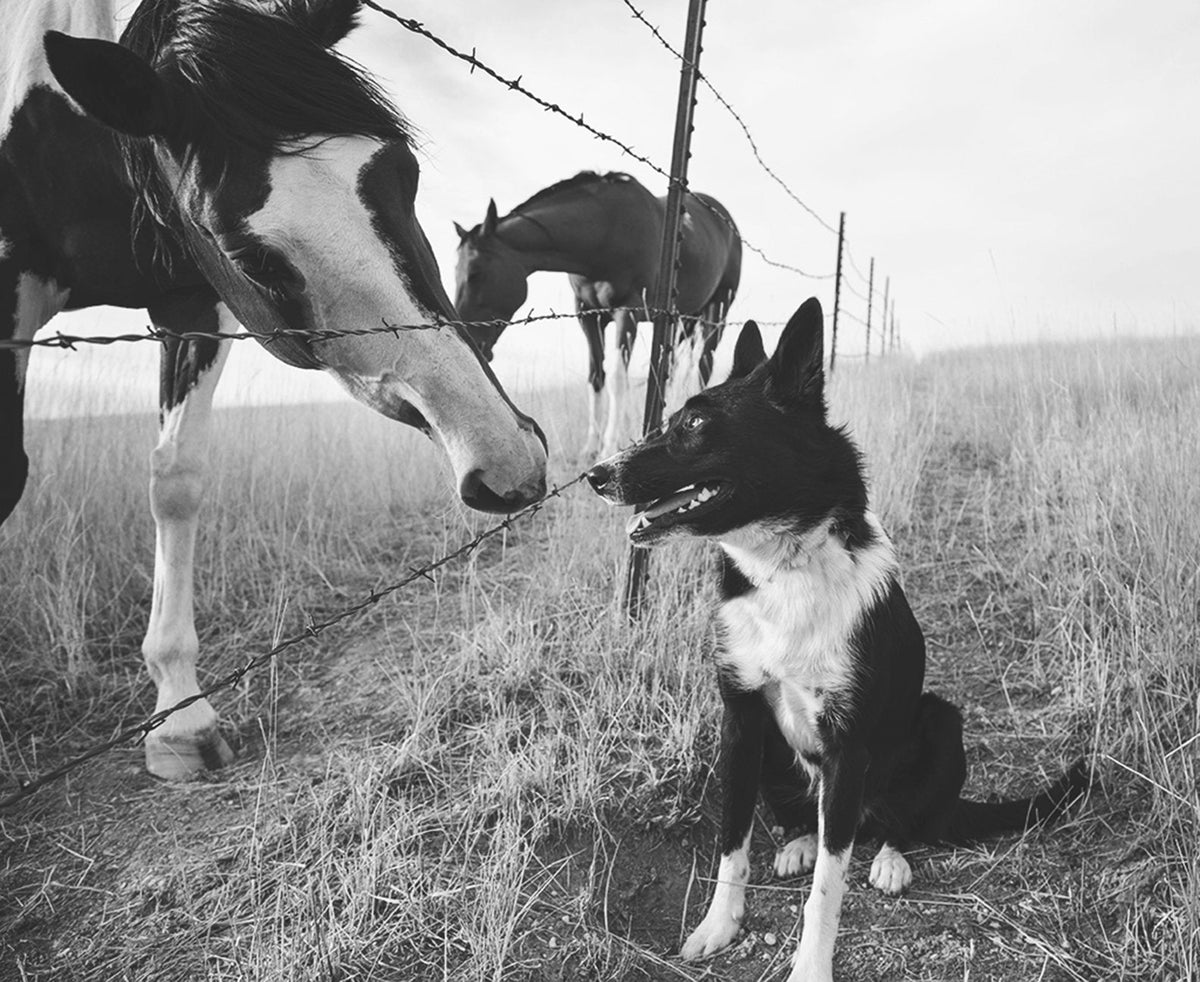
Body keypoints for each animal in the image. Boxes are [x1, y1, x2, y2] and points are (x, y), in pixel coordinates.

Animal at [0, 0, 549, 782]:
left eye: (405, 174)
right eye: (247, 253)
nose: (509, 465)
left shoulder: (192, 303)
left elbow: (177, 481)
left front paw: (181, 715)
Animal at [451, 171, 739, 458]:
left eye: (475, 273)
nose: (472, 341)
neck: (605, 234)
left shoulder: (628, 312)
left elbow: (617, 379)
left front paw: (608, 447)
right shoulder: (588, 316)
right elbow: (596, 377)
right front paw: (590, 447)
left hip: (717, 313)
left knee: (703, 365)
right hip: (682, 318)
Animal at [585, 296, 1094, 979]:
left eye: (694, 423)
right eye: (670, 419)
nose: (595, 474)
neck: (784, 567)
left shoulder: (848, 745)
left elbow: (828, 888)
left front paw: (810, 965)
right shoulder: (739, 718)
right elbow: (732, 842)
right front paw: (719, 926)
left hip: (939, 721)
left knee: (901, 822)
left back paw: (889, 858)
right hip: (777, 753)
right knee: (802, 817)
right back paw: (799, 842)